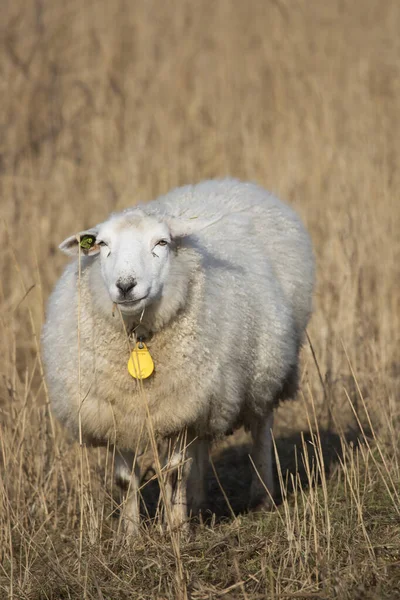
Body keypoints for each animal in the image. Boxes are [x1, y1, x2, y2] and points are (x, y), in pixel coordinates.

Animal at [41, 178, 316, 536]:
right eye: (102, 245)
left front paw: (175, 530)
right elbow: (125, 479)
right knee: (201, 443)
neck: (138, 336)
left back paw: (261, 496)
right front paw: (130, 535)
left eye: (162, 242)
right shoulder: (118, 409)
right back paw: (197, 504)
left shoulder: (182, 404)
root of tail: (233, 183)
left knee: (260, 428)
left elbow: (174, 472)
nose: (125, 286)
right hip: (205, 391)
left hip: (263, 370)